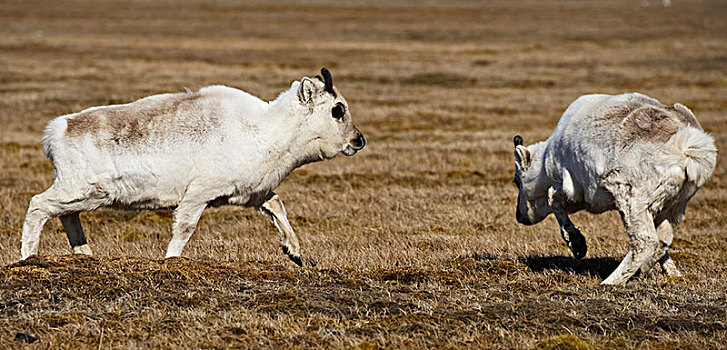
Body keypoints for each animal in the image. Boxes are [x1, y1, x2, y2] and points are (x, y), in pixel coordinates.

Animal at [21, 67, 370, 266]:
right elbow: (185, 228)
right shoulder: (197, 196)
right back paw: (28, 258)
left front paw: (294, 253)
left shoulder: (251, 195)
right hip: (80, 191)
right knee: (39, 206)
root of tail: (57, 130)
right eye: (337, 110)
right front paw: (171, 261)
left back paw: (85, 256)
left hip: (83, 197)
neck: (263, 129)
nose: (359, 140)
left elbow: (277, 206)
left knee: (66, 217)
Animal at [512, 92, 716, 284]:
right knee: (663, 240)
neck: (545, 164)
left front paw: (578, 246)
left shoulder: (573, 189)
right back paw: (642, 274)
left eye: (516, 181)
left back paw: (610, 282)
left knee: (646, 242)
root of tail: (685, 149)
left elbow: (553, 200)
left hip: (633, 202)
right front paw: (672, 272)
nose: (519, 216)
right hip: (676, 205)